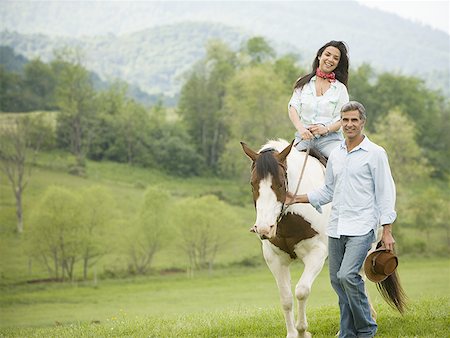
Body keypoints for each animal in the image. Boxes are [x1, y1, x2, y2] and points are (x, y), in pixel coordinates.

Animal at [241, 139, 406, 336]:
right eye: (253, 184)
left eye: (280, 184)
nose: (264, 228)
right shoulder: (275, 258)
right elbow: (286, 298)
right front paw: (292, 333)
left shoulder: (316, 254)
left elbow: (302, 291)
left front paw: (303, 331)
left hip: (367, 248)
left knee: (356, 279)